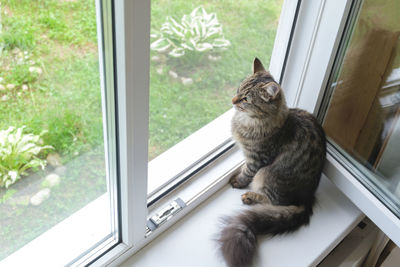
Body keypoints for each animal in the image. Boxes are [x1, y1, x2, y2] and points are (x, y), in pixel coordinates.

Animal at [217, 57, 326, 266]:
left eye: (245, 99)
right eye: (238, 91)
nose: (233, 100)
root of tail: (308, 197)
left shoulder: (257, 160)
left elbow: (246, 172)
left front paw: (238, 181)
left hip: (266, 174)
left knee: (273, 203)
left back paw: (250, 196)